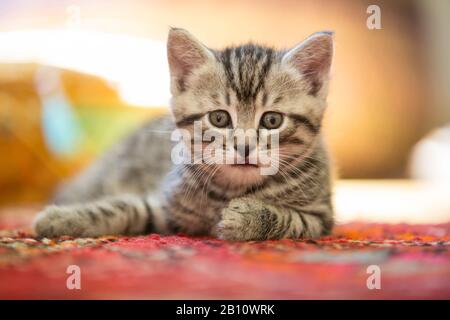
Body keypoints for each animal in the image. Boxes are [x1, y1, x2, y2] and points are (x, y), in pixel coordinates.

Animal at [33, 28, 334, 240]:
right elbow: (128, 208)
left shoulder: (321, 217)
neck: (230, 190)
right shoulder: (168, 208)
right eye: (219, 118)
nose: (244, 147)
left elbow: (290, 219)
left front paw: (247, 217)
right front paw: (63, 219)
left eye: (272, 120)